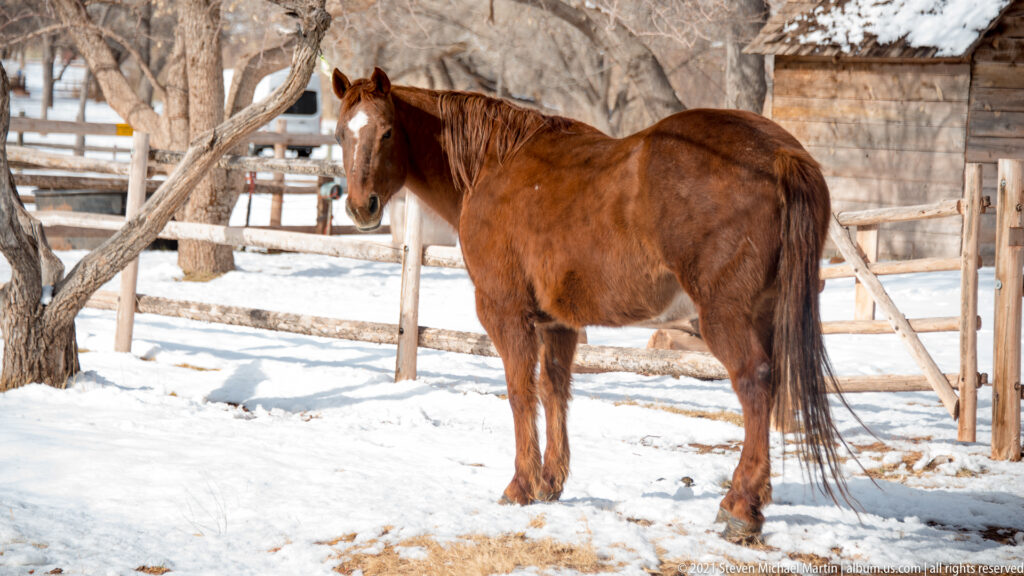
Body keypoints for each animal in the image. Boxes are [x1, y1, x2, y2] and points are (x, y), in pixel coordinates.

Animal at [330, 67, 853, 544]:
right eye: (340, 133)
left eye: (387, 131)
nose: (361, 207)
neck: (494, 165)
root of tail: (779, 153)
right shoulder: (558, 323)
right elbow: (554, 390)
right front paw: (550, 482)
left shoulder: (505, 312)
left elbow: (520, 392)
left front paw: (520, 485)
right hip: (767, 312)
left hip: (725, 316)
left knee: (754, 384)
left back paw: (740, 507)